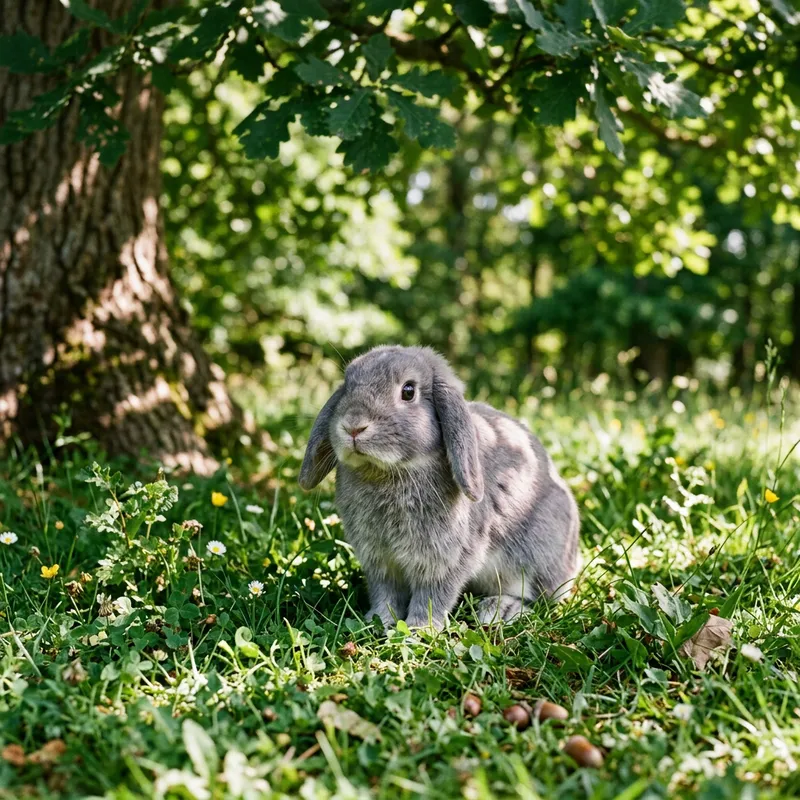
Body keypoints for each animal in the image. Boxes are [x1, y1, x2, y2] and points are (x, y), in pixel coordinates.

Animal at [299, 345, 580, 629]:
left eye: (408, 391)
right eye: (347, 385)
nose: (353, 426)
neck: (387, 471)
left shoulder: (444, 559)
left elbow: (433, 594)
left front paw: (417, 629)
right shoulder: (380, 560)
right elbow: (386, 592)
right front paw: (378, 621)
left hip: (535, 555)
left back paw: (501, 609)